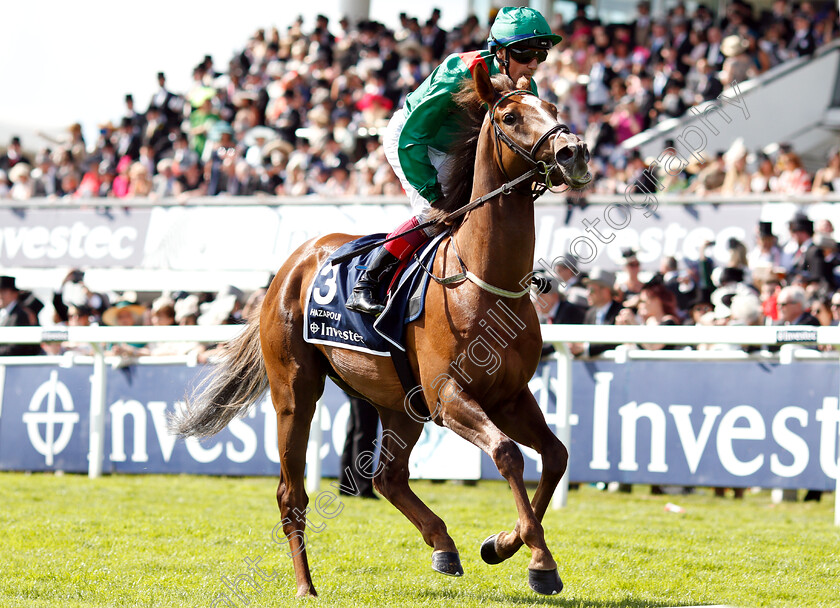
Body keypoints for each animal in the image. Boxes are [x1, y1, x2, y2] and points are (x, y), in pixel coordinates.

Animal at [173, 67, 588, 600]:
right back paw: (306, 586)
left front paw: (501, 544)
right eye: (511, 116)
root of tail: (293, 262)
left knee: (388, 477)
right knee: (292, 492)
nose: (573, 151)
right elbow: (507, 453)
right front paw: (540, 561)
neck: (479, 278)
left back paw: (443, 544)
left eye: (555, 110)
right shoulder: (448, 395)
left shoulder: (510, 396)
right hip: (295, 392)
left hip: (399, 403)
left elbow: (554, 456)